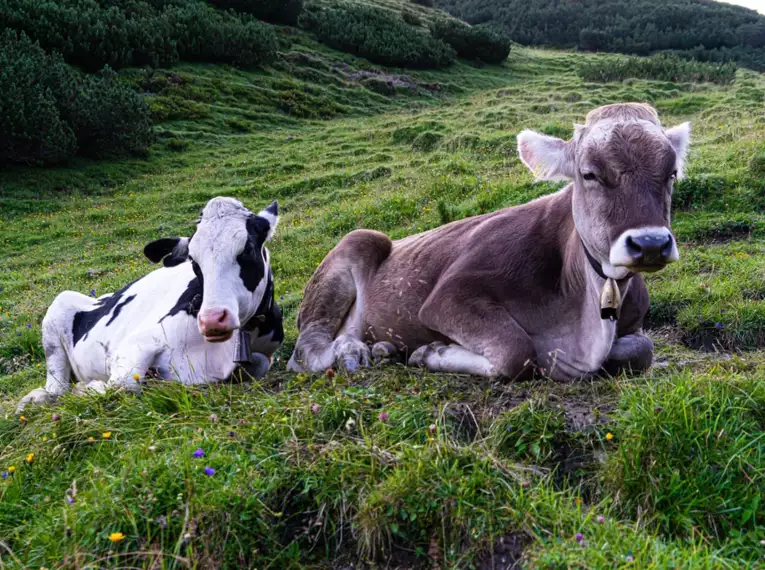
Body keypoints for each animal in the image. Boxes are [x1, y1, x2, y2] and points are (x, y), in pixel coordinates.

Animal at [17, 195, 284, 408]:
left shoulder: (263, 355)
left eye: (248, 249)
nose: (211, 320)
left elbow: (260, 364)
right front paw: (90, 388)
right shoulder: (136, 342)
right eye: (194, 261)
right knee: (56, 387)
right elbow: (123, 386)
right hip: (58, 310)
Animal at [286, 103, 688, 378]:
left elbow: (642, 349)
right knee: (305, 348)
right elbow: (516, 351)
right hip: (355, 244)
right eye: (589, 174)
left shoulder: (634, 326)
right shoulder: (448, 297)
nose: (650, 243)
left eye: (672, 173)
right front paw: (431, 352)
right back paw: (347, 352)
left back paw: (380, 347)